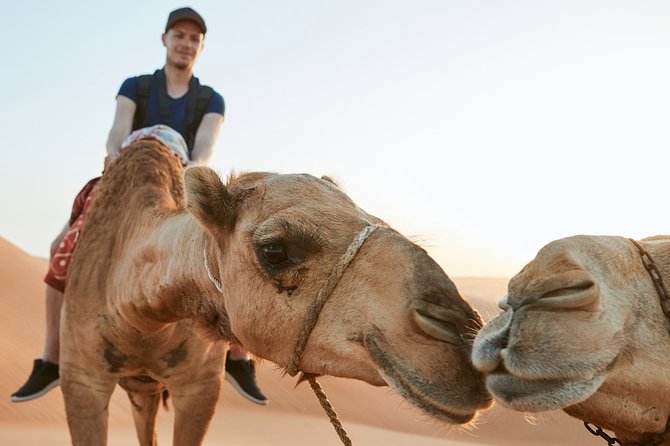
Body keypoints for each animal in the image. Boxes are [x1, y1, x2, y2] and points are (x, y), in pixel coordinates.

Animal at [60, 139, 492, 446]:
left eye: (376, 218)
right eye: (275, 250)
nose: (463, 335)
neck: (140, 308)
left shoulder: (200, 386)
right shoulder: (81, 380)